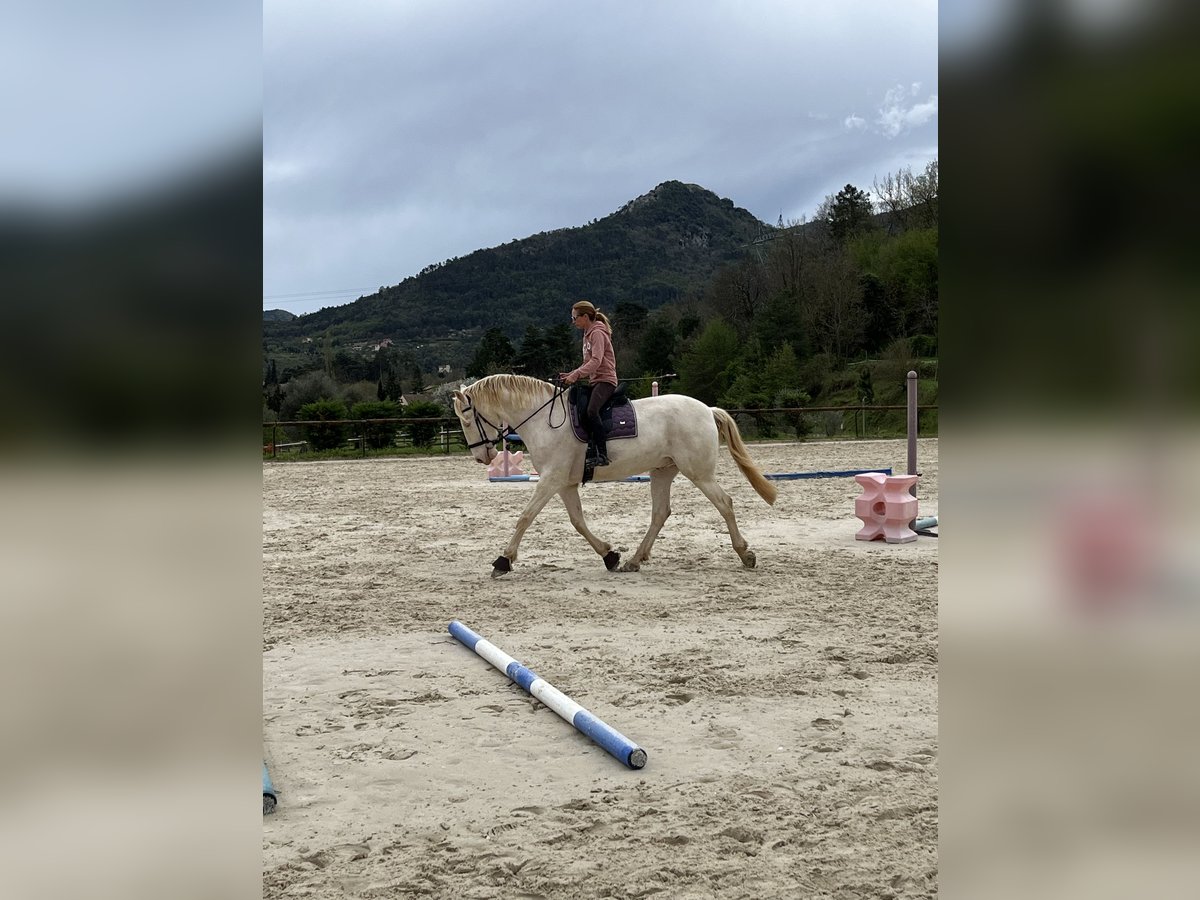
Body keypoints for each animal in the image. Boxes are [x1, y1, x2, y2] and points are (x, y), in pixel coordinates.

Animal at [451, 374, 777, 578]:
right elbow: (578, 522)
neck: (543, 419)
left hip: (698, 473)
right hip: (663, 471)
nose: (482, 457)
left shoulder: (550, 480)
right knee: (660, 512)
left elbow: (525, 517)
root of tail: (708, 410)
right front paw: (610, 555)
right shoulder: (564, 484)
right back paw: (634, 560)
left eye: (466, 419)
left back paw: (745, 554)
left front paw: (503, 561)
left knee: (724, 503)